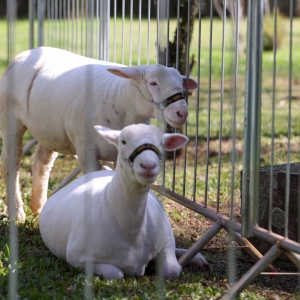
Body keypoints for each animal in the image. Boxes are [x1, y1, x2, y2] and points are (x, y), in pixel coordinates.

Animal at [0, 47, 198, 220]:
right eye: (153, 83)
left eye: (181, 85)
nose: (181, 113)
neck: (120, 99)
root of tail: (30, 51)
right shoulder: (86, 150)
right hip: (11, 120)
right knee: (11, 162)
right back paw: (17, 212)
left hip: (50, 129)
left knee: (42, 162)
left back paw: (38, 207)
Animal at [39, 123, 209, 278]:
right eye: (123, 141)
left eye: (161, 142)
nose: (148, 165)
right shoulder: (76, 258)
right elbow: (116, 273)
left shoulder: (166, 239)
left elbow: (172, 270)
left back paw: (197, 259)